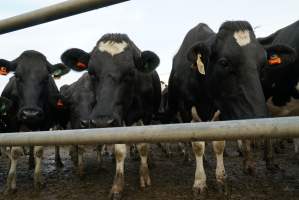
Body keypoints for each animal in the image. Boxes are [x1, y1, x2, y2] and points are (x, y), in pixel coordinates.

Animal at [0, 50, 68, 194]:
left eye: (46, 78)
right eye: (17, 76)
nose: (30, 113)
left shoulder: (46, 123)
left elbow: (39, 150)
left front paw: (38, 180)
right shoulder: (12, 123)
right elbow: (14, 152)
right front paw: (11, 184)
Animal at [59, 33, 161, 199]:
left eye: (131, 72)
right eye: (91, 72)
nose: (102, 122)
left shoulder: (144, 116)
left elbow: (143, 146)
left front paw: (144, 175)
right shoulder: (117, 122)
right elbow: (120, 150)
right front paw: (117, 186)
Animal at [168, 21, 296, 198]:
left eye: (263, 64)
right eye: (224, 62)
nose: (259, 117)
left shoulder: (220, 112)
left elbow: (219, 144)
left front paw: (221, 179)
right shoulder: (186, 112)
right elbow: (198, 145)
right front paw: (200, 182)